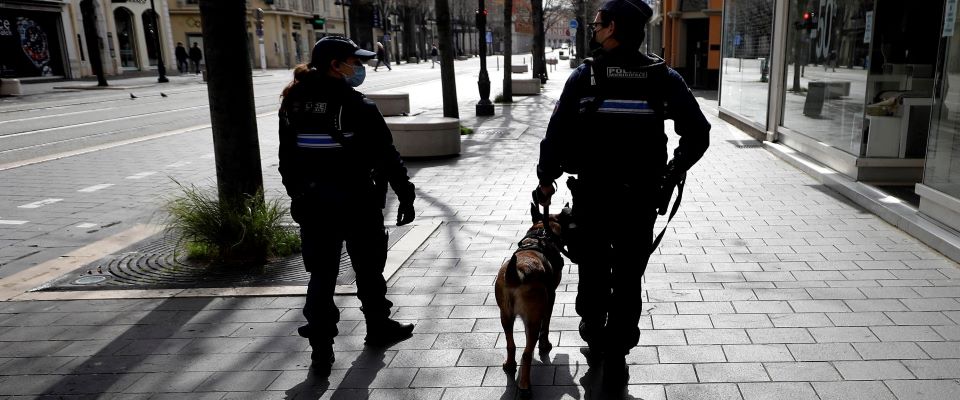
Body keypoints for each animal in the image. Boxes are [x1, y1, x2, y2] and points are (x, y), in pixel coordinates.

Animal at [496, 203, 568, 396]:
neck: (540, 234)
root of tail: (517, 273)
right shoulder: (551, 298)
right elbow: (547, 324)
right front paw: (545, 345)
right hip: (533, 320)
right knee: (527, 353)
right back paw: (524, 386)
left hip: (505, 315)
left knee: (511, 344)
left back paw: (510, 365)